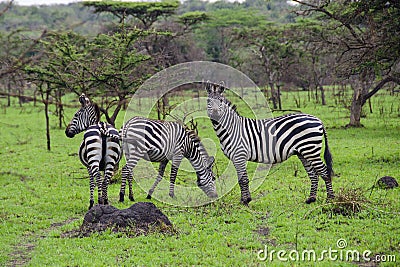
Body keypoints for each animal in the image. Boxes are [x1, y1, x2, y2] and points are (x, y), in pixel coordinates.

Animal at [206, 81, 334, 205]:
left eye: (221, 101)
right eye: (208, 101)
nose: (215, 113)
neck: (231, 128)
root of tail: (318, 119)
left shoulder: (240, 155)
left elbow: (243, 180)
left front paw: (246, 201)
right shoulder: (235, 158)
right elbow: (241, 179)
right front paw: (244, 200)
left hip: (311, 150)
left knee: (324, 172)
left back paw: (330, 199)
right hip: (303, 152)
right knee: (313, 174)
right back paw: (311, 199)